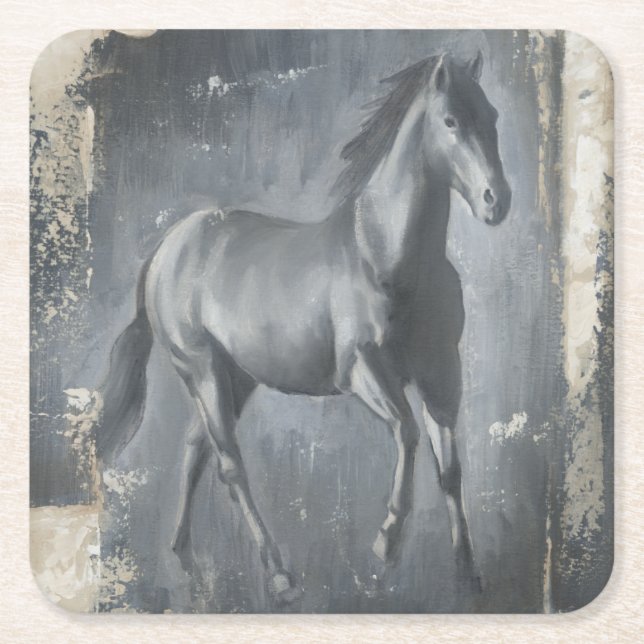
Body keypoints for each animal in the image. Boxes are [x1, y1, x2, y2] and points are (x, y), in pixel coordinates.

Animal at [96, 51, 511, 605]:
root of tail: (166, 249)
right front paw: (385, 544)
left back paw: (182, 553)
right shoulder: (362, 371)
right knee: (230, 463)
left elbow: (450, 469)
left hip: (236, 379)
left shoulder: (442, 377)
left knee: (195, 450)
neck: (389, 256)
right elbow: (406, 434)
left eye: (491, 117)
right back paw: (279, 575)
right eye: (450, 122)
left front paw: (468, 573)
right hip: (202, 369)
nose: (496, 201)